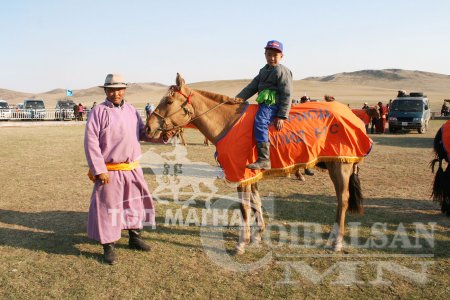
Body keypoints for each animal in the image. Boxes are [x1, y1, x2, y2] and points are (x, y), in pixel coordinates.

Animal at [147, 74, 366, 254]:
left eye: (168, 100)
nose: (148, 127)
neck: (227, 123)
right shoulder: (251, 175)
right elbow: (256, 203)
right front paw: (257, 235)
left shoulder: (241, 175)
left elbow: (244, 207)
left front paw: (241, 243)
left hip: (340, 166)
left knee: (343, 200)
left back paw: (337, 241)